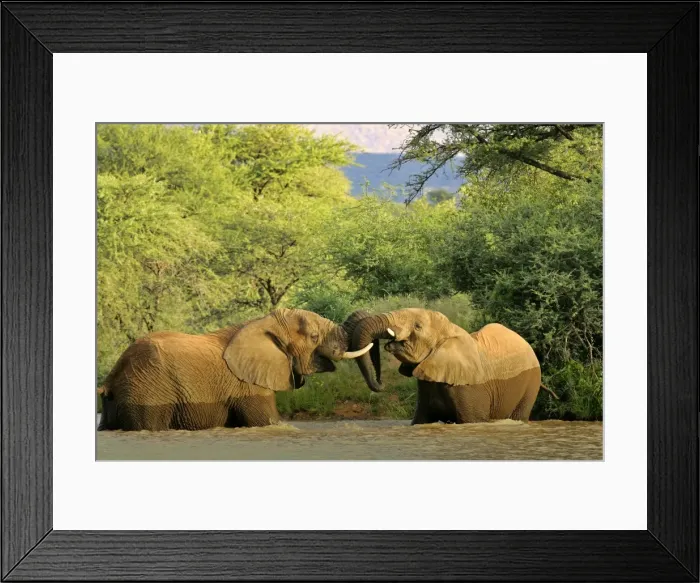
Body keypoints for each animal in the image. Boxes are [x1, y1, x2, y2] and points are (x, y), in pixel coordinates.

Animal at [97, 308, 373, 431]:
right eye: (314, 336)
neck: (262, 323)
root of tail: (112, 377)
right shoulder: (248, 384)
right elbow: (267, 422)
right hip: (147, 390)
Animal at [349, 308, 558, 424]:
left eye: (417, 326)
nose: (380, 383)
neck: (450, 330)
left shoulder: (469, 387)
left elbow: (472, 420)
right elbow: (420, 421)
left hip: (531, 383)